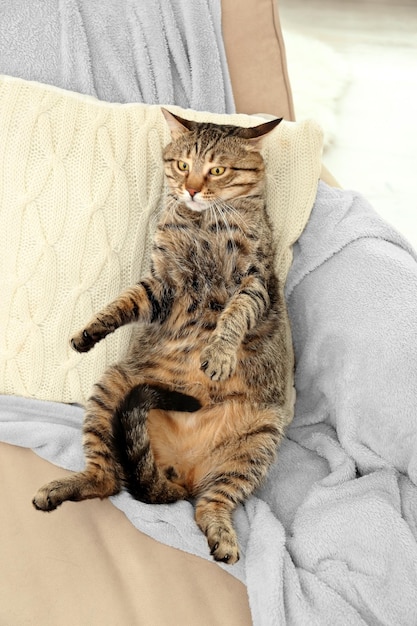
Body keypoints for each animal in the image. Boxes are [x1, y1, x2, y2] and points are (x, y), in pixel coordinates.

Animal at [33, 108, 292, 564]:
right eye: (183, 165)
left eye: (218, 170)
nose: (191, 190)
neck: (202, 222)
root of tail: (181, 473)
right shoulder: (163, 285)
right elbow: (126, 300)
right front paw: (90, 329)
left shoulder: (255, 282)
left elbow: (234, 315)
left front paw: (219, 354)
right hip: (111, 391)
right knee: (108, 480)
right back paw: (64, 487)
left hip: (258, 442)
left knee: (211, 504)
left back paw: (223, 536)